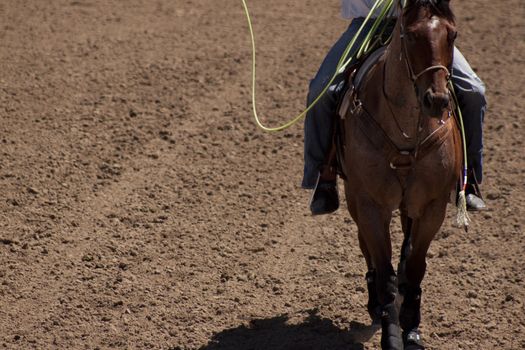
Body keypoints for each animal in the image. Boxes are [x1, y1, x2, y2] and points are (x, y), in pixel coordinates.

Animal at [340, 0, 458, 350]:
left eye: (452, 35)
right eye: (413, 35)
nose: (437, 100)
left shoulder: (433, 206)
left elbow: (415, 266)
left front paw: (412, 328)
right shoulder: (370, 205)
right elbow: (384, 271)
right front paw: (391, 332)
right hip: (354, 199)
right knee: (367, 249)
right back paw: (374, 302)